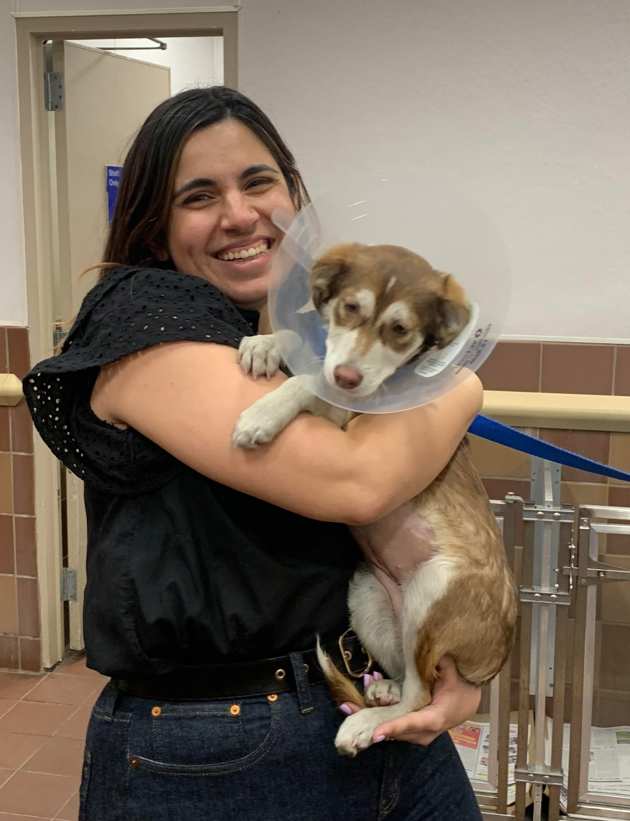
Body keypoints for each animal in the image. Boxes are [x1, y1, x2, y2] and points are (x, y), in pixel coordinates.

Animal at [232, 243, 520, 756]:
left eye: (400, 330)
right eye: (350, 307)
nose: (347, 377)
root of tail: (494, 660)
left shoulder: (350, 416)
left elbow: (305, 382)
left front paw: (263, 413)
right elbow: (305, 354)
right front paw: (265, 344)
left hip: (434, 587)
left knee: (421, 697)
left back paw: (366, 723)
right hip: (367, 594)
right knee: (411, 679)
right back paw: (385, 686)